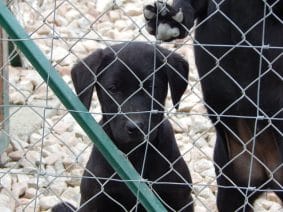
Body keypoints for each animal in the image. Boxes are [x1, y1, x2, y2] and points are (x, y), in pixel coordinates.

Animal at [53, 42, 194, 211]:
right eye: (113, 89)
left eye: (151, 87)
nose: (135, 127)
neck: (136, 154)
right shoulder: (94, 200)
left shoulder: (181, 200)